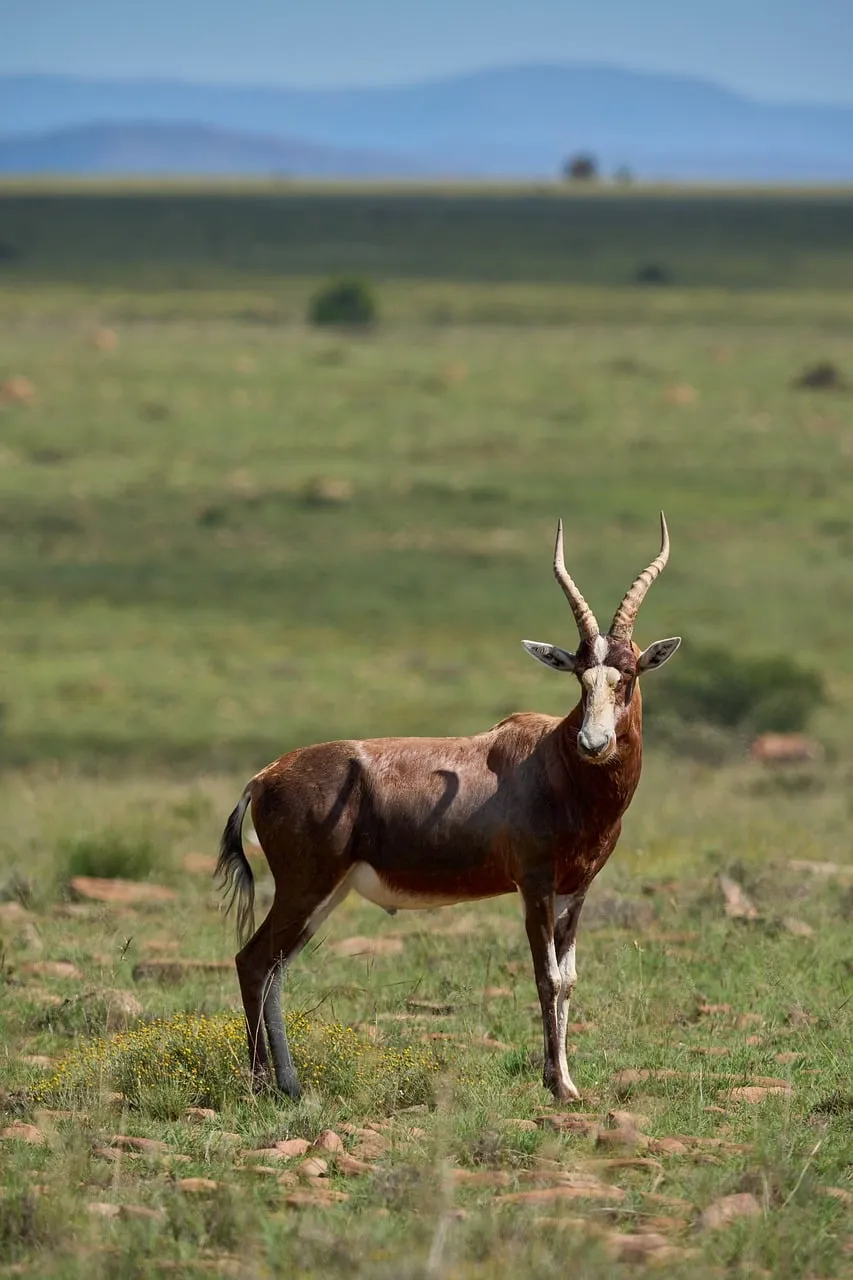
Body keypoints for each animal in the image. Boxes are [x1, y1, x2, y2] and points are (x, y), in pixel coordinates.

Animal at [216, 515, 681, 1102]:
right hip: (306, 886)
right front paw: (558, 1086)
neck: (551, 760)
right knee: (253, 962)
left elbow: (569, 980)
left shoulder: (576, 890)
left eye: (628, 675)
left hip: (326, 892)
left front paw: (567, 1082)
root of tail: (264, 776)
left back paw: (292, 1087)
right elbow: (547, 977)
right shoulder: (534, 884)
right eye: (580, 676)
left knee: (274, 967)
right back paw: (265, 1088)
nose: (593, 743)